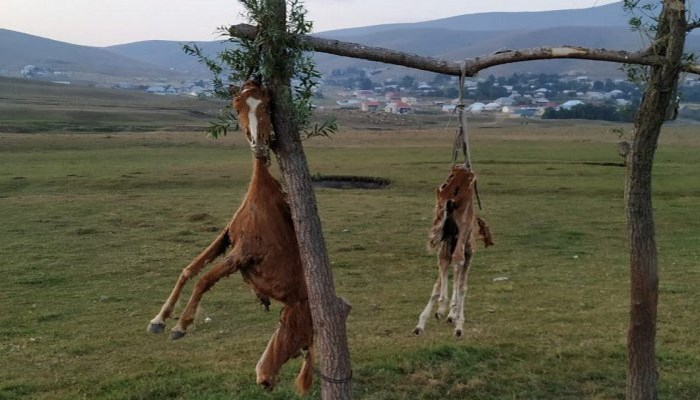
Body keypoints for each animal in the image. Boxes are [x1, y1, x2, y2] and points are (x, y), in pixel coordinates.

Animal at [148, 80, 314, 394]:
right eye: (238, 107)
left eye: (266, 105)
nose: (259, 145)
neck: (260, 193)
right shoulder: (227, 237)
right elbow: (189, 270)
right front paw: (158, 319)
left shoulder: (243, 253)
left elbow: (203, 280)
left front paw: (181, 326)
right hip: (289, 317)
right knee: (299, 350)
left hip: (297, 319)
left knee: (305, 350)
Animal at [412, 165, 494, 338]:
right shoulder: (468, 254)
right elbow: (462, 286)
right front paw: (455, 318)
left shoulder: (448, 239)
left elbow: (438, 282)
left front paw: (425, 321)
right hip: (460, 225)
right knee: (456, 261)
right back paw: (447, 309)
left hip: (441, 218)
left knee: (443, 260)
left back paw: (440, 309)